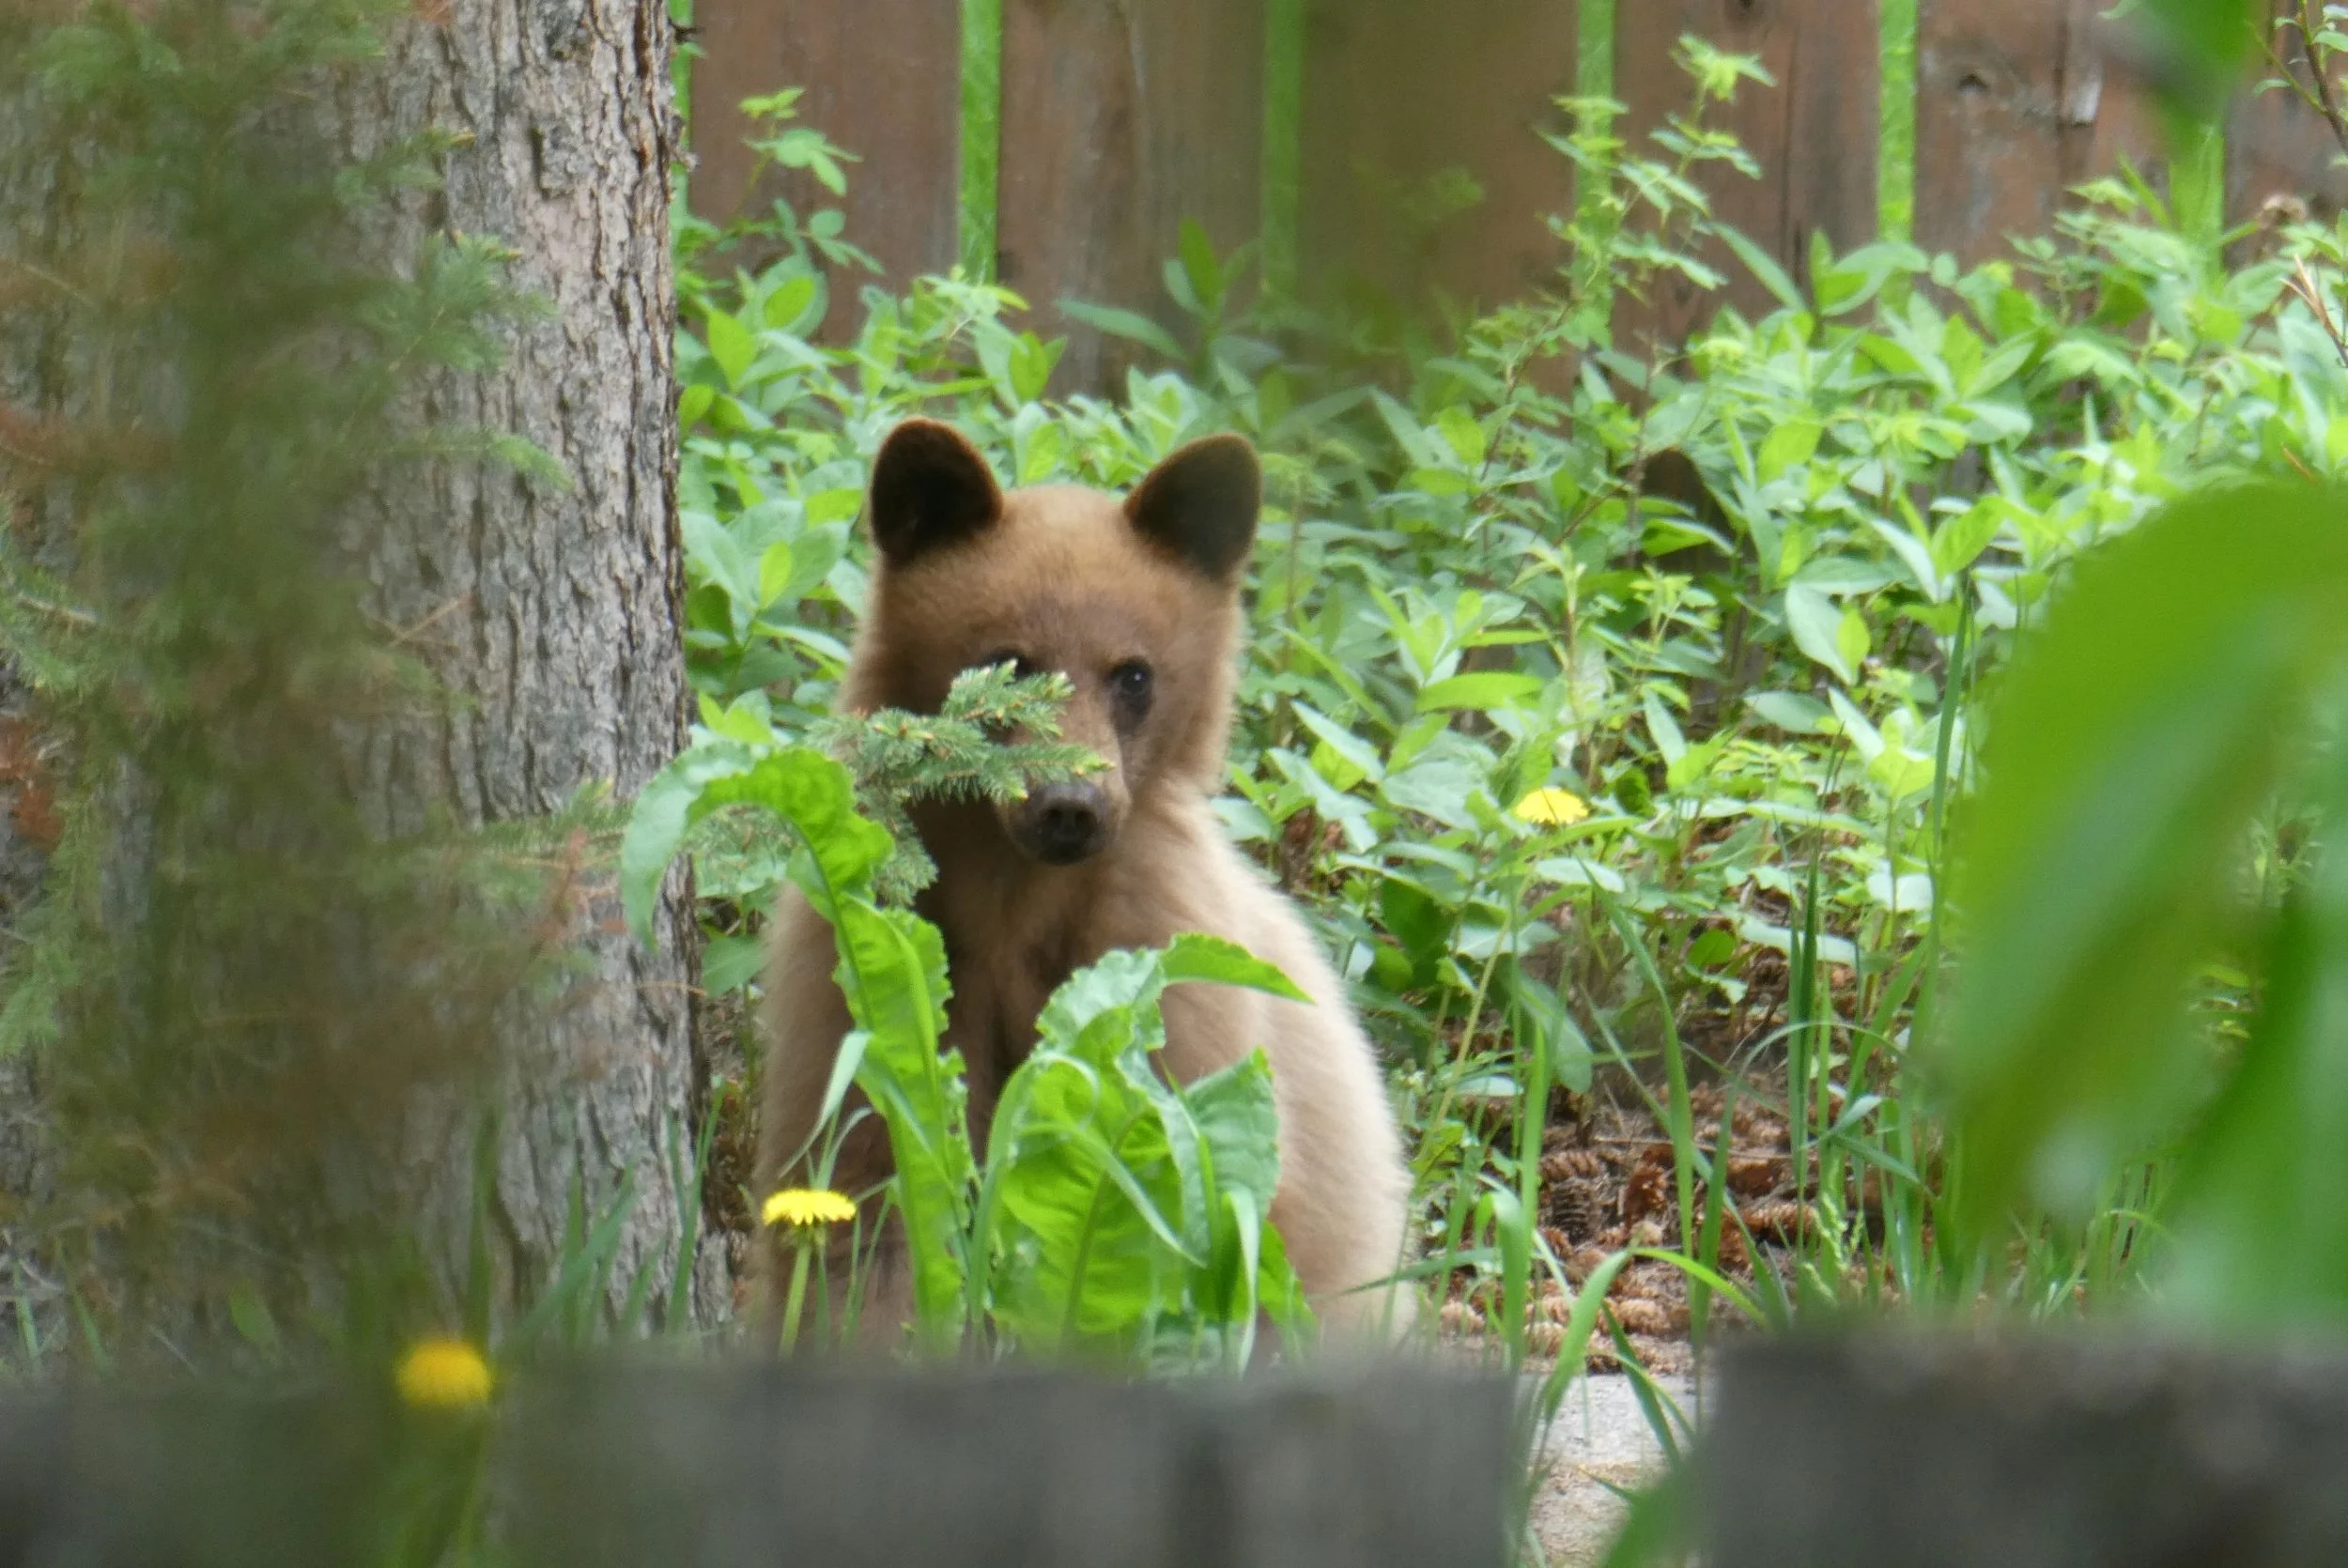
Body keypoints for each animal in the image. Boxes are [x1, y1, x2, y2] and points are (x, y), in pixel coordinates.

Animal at [756, 418, 1413, 1346]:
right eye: (1009, 664)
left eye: (1133, 673)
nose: (1071, 806)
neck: (1015, 900)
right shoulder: (868, 969)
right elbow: (862, 1208)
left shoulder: (1161, 975)